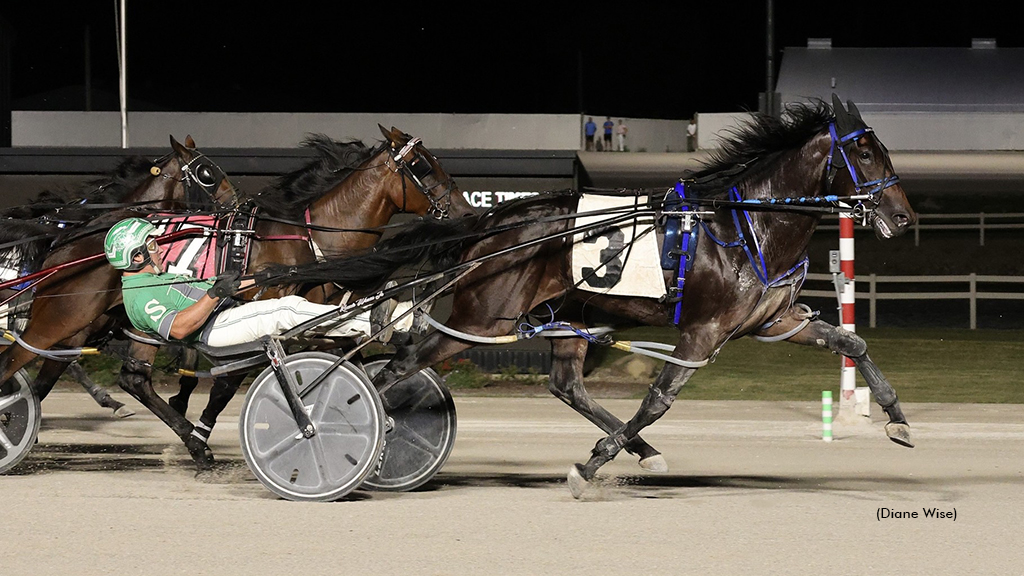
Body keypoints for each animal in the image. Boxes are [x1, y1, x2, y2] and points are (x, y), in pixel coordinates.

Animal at [0, 126, 473, 472]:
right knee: (26, 363)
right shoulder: (250, 308)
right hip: (67, 317)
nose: (466, 211)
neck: (307, 239)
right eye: (422, 166)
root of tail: (70, 238)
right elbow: (231, 379)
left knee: (125, 377)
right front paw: (208, 433)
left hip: (115, 323)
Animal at [260, 97, 917, 497]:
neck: (743, 226)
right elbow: (658, 399)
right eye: (863, 151)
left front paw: (898, 421)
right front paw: (587, 466)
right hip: (485, 318)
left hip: (564, 314)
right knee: (397, 367)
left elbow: (853, 342)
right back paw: (331, 429)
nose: (904, 218)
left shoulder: (776, 320)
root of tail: (493, 222)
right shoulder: (702, 333)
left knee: (565, 385)